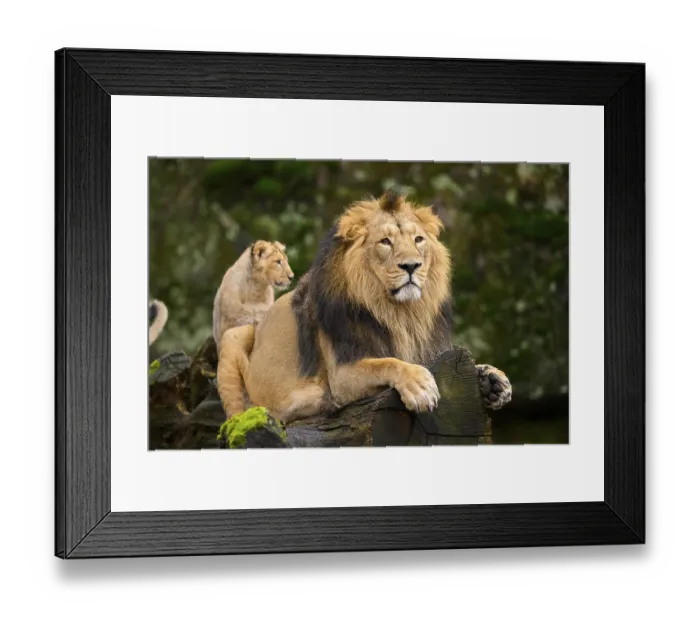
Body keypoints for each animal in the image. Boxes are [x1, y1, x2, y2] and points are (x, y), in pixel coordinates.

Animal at [217, 191, 512, 423]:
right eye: (385, 242)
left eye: (418, 240)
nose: (411, 266)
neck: (400, 313)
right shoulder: (341, 374)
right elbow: (387, 363)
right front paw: (420, 386)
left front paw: (492, 379)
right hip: (233, 337)